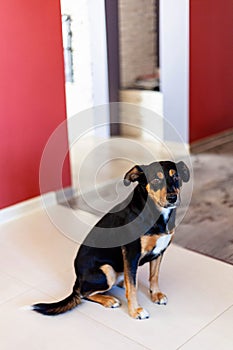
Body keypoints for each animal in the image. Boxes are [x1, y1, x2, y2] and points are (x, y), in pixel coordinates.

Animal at [33, 161, 189, 320]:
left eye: (176, 177)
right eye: (156, 180)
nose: (172, 198)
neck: (156, 213)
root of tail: (77, 280)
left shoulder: (159, 251)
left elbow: (154, 276)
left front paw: (156, 294)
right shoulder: (131, 254)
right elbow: (133, 288)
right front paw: (135, 311)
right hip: (107, 270)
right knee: (84, 294)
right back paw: (109, 300)